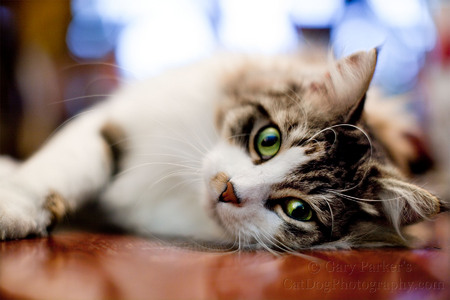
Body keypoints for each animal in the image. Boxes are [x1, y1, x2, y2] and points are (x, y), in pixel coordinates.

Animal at [0, 49, 444, 251]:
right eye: (268, 140)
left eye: (298, 210)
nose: (228, 189)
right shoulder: (112, 121)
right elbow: (61, 170)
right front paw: (16, 209)